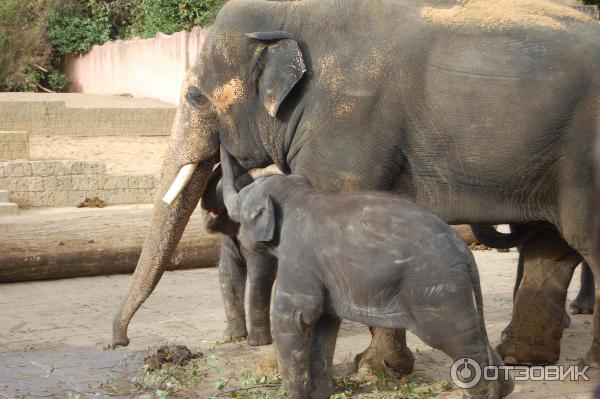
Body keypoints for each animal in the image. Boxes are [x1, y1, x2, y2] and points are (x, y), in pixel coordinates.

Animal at [221, 148, 516, 399]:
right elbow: (326, 323)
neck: (298, 195)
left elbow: (295, 317)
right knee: (475, 335)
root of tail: (465, 252)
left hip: (437, 289)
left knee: (459, 340)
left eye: (242, 208)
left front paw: (295, 395)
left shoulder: (298, 258)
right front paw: (321, 394)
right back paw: (505, 390)